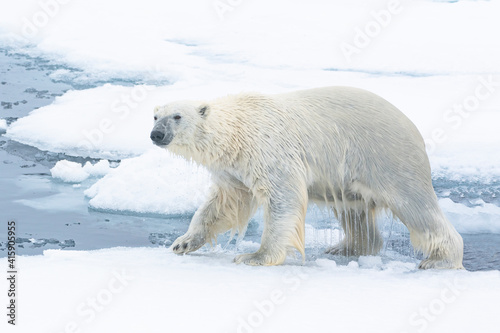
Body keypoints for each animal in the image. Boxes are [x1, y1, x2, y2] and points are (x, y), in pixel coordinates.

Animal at [149, 85, 464, 268]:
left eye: (177, 116)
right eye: (155, 116)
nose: (156, 134)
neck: (238, 131)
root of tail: (412, 127)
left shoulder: (269, 149)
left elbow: (283, 196)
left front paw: (254, 256)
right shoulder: (234, 168)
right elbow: (224, 203)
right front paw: (183, 242)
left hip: (388, 157)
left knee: (415, 206)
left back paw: (439, 260)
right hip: (351, 177)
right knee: (354, 211)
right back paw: (344, 248)